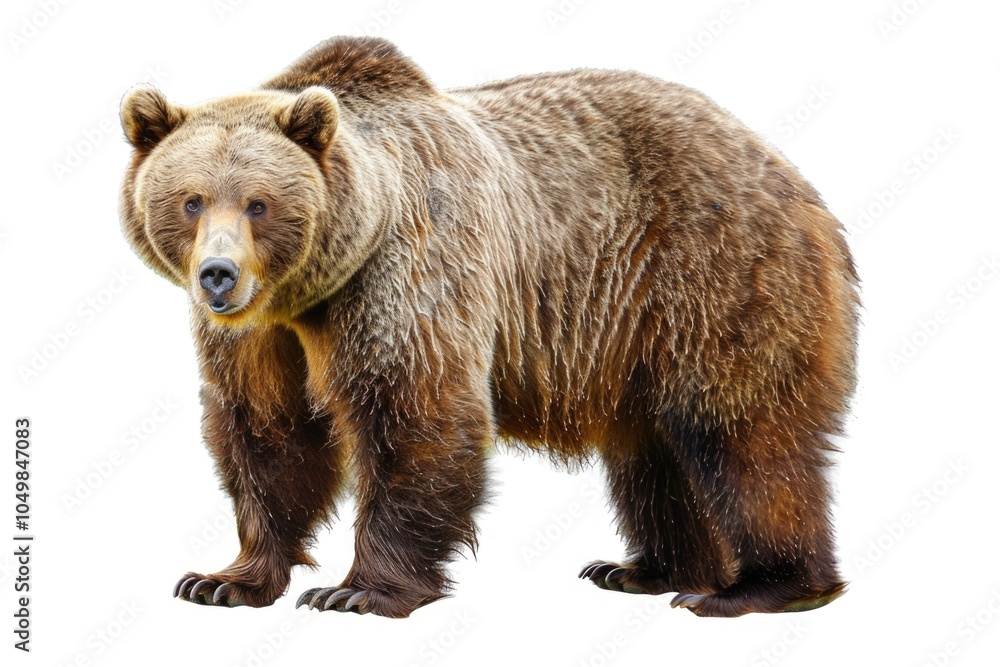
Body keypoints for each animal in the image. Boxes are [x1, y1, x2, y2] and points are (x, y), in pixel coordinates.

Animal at [119, 36, 859, 618]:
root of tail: (784, 164)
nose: (217, 275)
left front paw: (356, 590)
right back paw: (643, 569)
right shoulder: (257, 335)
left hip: (715, 275)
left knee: (744, 431)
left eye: (259, 204)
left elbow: (415, 409)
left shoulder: (406, 271)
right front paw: (224, 579)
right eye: (190, 201)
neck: (310, 291)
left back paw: (761, 587)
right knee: (654, 450)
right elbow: (267, 429)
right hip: (636, 334)